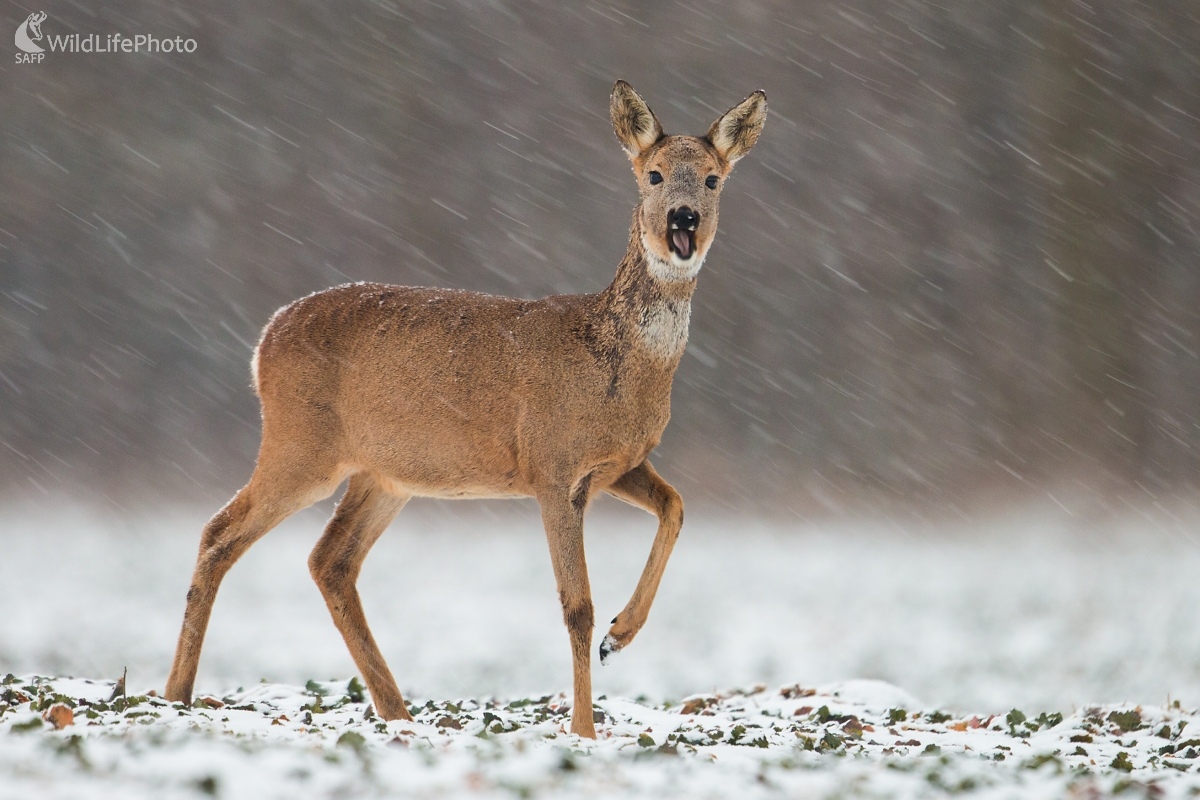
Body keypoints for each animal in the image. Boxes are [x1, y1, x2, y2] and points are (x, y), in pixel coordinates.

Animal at [166, 79, 768, 738]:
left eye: (712, 179)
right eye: (653, 174)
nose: (683, 219)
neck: (616, 361)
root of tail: (262, 342)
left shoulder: (618, 465)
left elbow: (677, 507)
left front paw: (621, 635)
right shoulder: (552, 466)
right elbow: (576, 605)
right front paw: (584, 727)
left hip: (384, 474)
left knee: (330, 560)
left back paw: (396, 712)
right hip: (301, 445)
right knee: (220, 532)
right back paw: (177, 695)